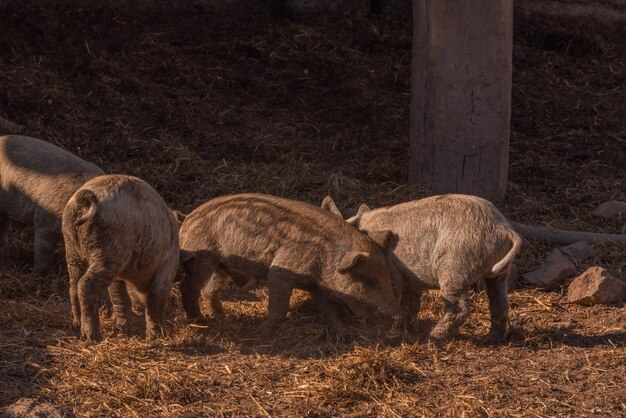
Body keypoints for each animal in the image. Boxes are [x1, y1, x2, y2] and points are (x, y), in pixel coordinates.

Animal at [61, 175, 178, 342]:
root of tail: (83, 197)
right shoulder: (166, 268)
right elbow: (155, 301)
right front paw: (157, 335)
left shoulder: (120, 275)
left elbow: (119, 297)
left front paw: (126, 332)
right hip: (108, 249)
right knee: (85, 284)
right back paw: (93, 337)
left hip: (72, 248)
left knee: (73, 286)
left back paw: (77, 326)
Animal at [177, 193, 400, 340]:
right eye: (369, 280)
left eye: (387, 276)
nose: (394, 316)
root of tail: (187, 219)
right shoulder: (280, 270)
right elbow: (279, 307)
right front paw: (260, 335)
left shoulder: (317, 286)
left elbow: (330, 310)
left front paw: (343, 335)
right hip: (202, 256)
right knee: (189, 287)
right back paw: (201, 322)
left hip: (220, 266)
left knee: (209, 290)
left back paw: (221, 318)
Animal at [322, 194, 520, 344]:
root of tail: (503, 229)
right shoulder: (411, 281)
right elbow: (411, 304)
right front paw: (408, 327)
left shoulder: (393, 272)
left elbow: (394, 298)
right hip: (498, 273)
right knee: (500, 303)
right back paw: (491, 340)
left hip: (454, 267)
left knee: (460, 307)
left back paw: (433, 338)